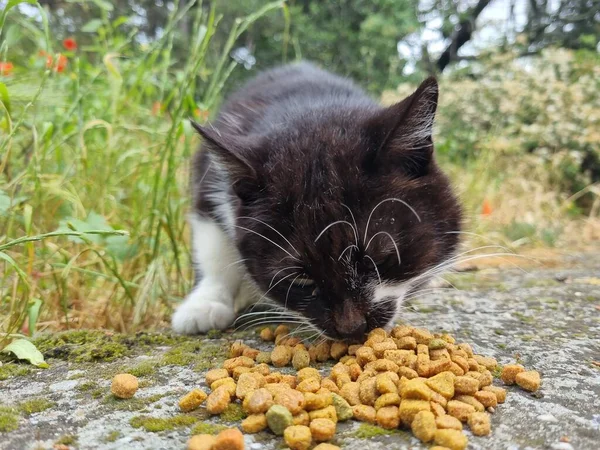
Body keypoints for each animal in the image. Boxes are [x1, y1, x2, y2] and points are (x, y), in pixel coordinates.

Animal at [171, 61, 462, 340]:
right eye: (300, 279)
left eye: (380, 259)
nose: (351, 329)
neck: (309, 105)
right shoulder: (208, 177)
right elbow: (213, 246)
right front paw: (203, 304)